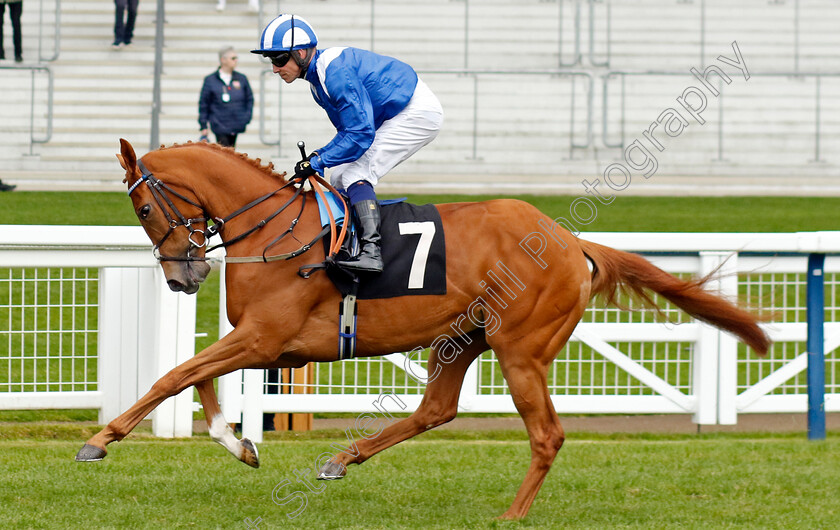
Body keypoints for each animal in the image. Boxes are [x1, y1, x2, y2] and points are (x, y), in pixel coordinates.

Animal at [75, 138, 772, 516]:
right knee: (436, 409)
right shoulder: (264, 342)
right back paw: (341, 459)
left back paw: (510, 515)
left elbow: (175, 375)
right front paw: (238, 442)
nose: (182, 277)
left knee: (546, 435)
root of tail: (571, 241)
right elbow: (197, 378)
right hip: (461, 339)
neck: (276, 230)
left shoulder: (265, 337)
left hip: (521, 350)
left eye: (143, 207)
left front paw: (101, 439)